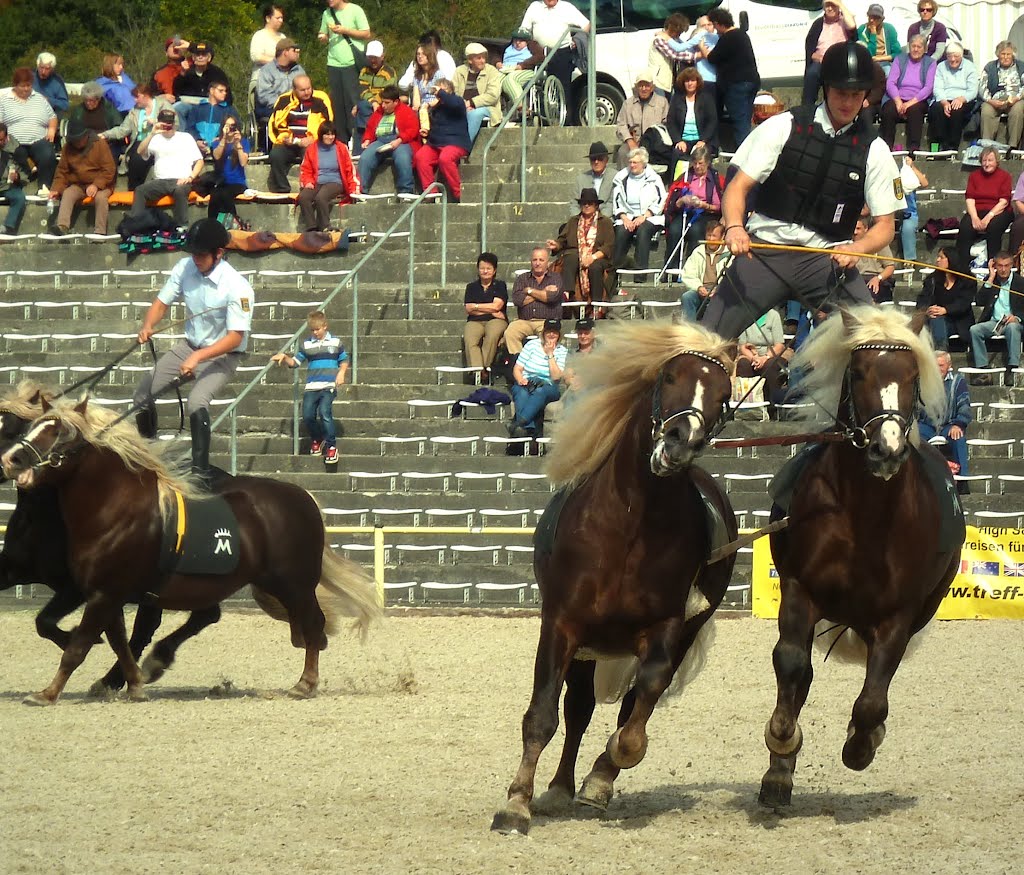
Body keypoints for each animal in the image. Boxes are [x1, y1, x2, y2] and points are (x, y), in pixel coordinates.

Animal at [2, 397, 382, 704]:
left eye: (62, 433)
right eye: (34, 427)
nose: (12, 459)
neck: (115, 511)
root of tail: (303, 497)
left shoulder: (100, 594)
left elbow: (78, 646)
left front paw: (47, 693)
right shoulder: (105, 593)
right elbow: (118, 641)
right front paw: (134, 684)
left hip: (294, 583)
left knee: (313, 624)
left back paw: (305, 683)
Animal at [489, 321, 737, 836]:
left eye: (723, 395)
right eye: (670, 377)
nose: (679, 443)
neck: (629, 524)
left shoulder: (664, 628)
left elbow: (635, 721)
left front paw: (605, 773)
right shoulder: (562, 625)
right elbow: (543, 715)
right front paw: (515, 805)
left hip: (682, 632)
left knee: (631, 703)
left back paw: (594, 783)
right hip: (586, 645)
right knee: (578, 710)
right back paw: (559, 788)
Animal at [765, 307, 962, 807]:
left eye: (912, 376)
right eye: (858, 373)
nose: (886, 449)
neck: (866, 515)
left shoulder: (899, 615)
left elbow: (874, 697)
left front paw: (861, 744)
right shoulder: (799, 590)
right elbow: (791, 664)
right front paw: (782, 742)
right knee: (801, 673)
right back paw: (779, 771)